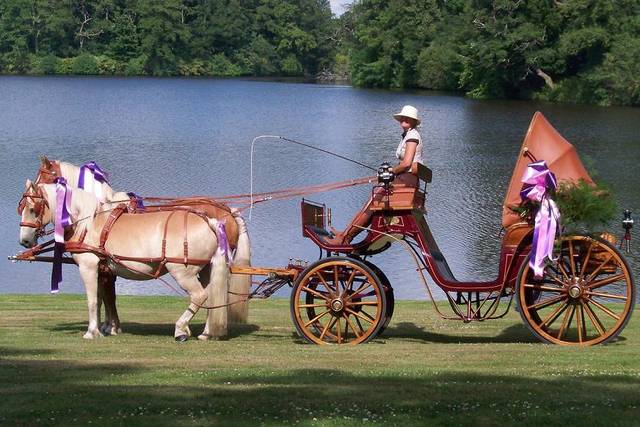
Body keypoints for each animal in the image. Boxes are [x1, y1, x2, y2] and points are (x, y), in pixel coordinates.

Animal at [33, 155, 251, 336]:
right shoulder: (107, 268)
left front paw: (109, 327)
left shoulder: (104, 268)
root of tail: (228, 212)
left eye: (43, 176)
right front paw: (110, 326)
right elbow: (107, 296)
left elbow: (106, 296)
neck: (99, 214)